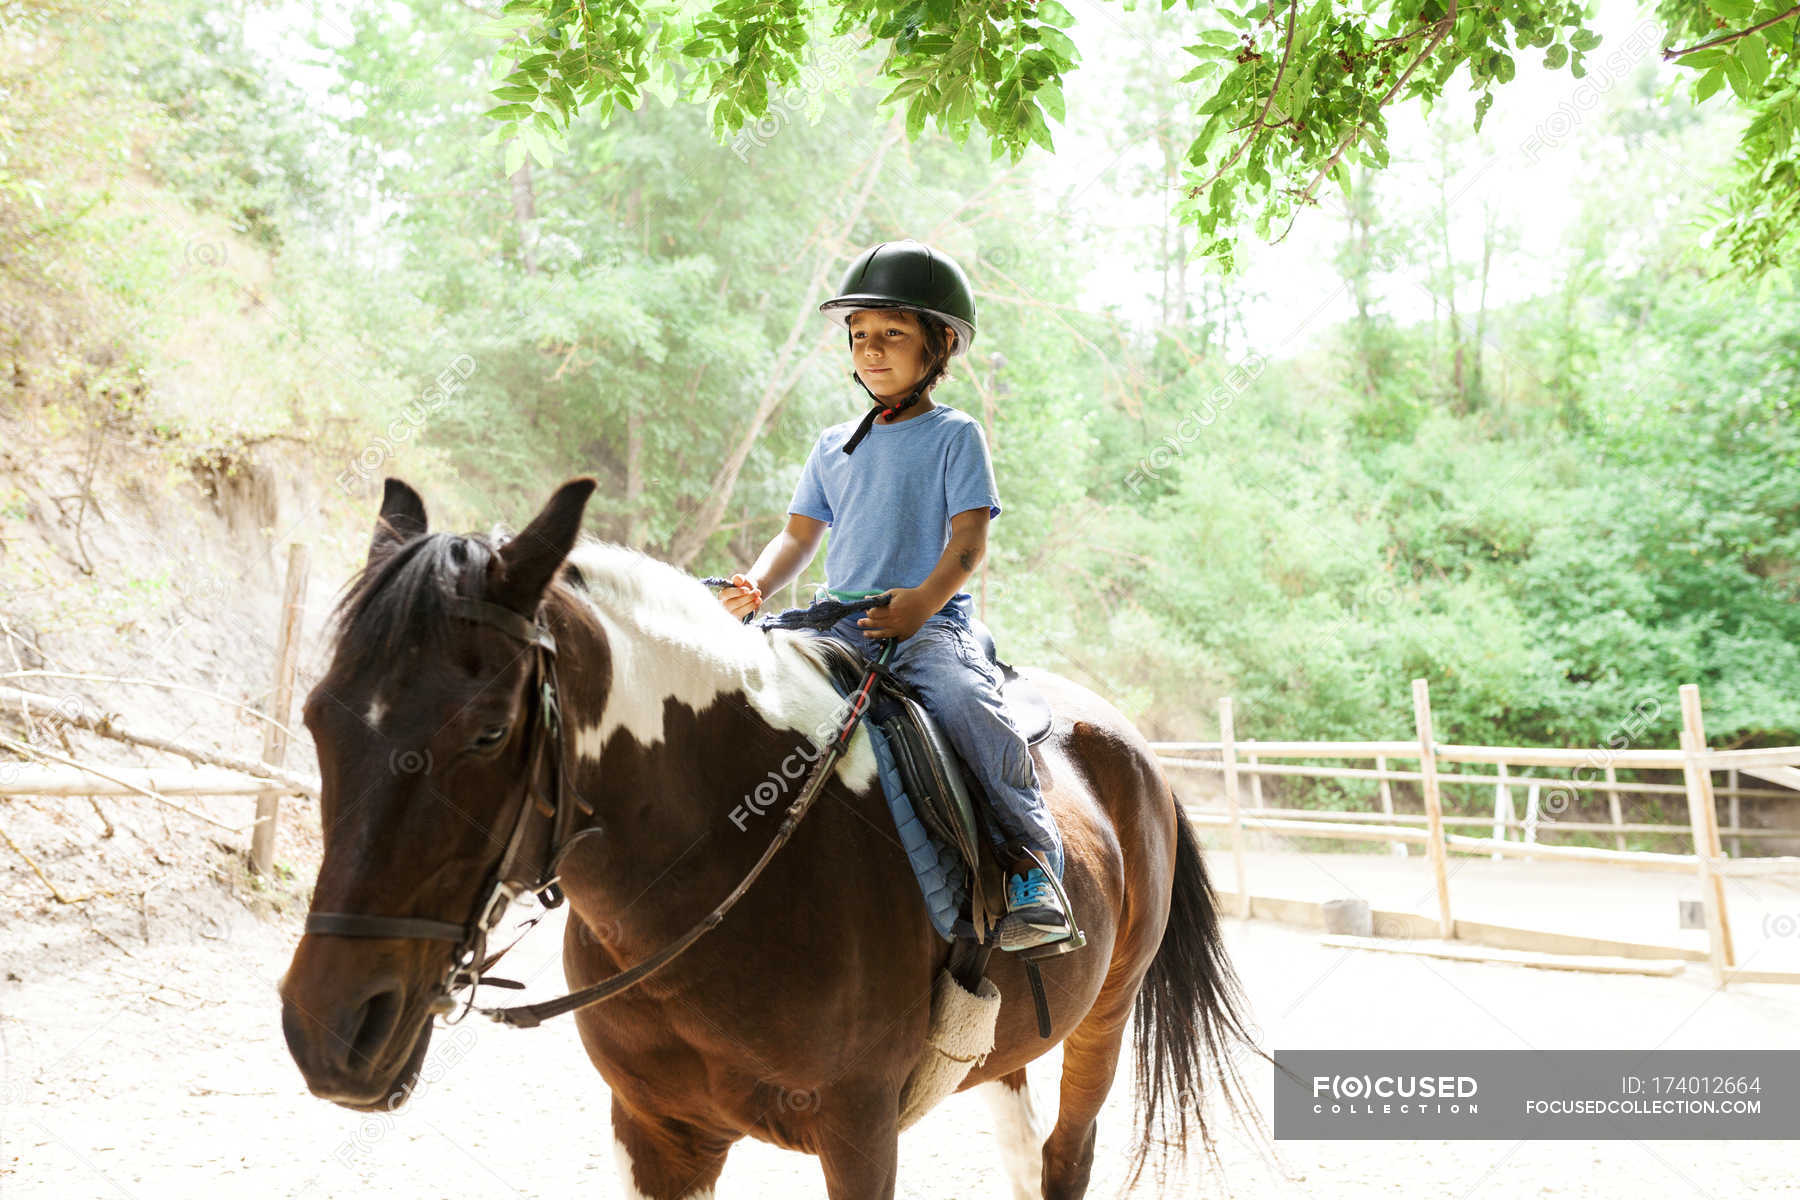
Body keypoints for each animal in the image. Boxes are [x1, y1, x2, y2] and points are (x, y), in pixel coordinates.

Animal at [277, 482, 1252, 1200]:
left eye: (484, 734)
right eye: (318, 717)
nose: (330, 1026)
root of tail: (1135, 751)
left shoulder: (859, 1136)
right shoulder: (658, 1134)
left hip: (1107, 1018)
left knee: (1063, 1158)